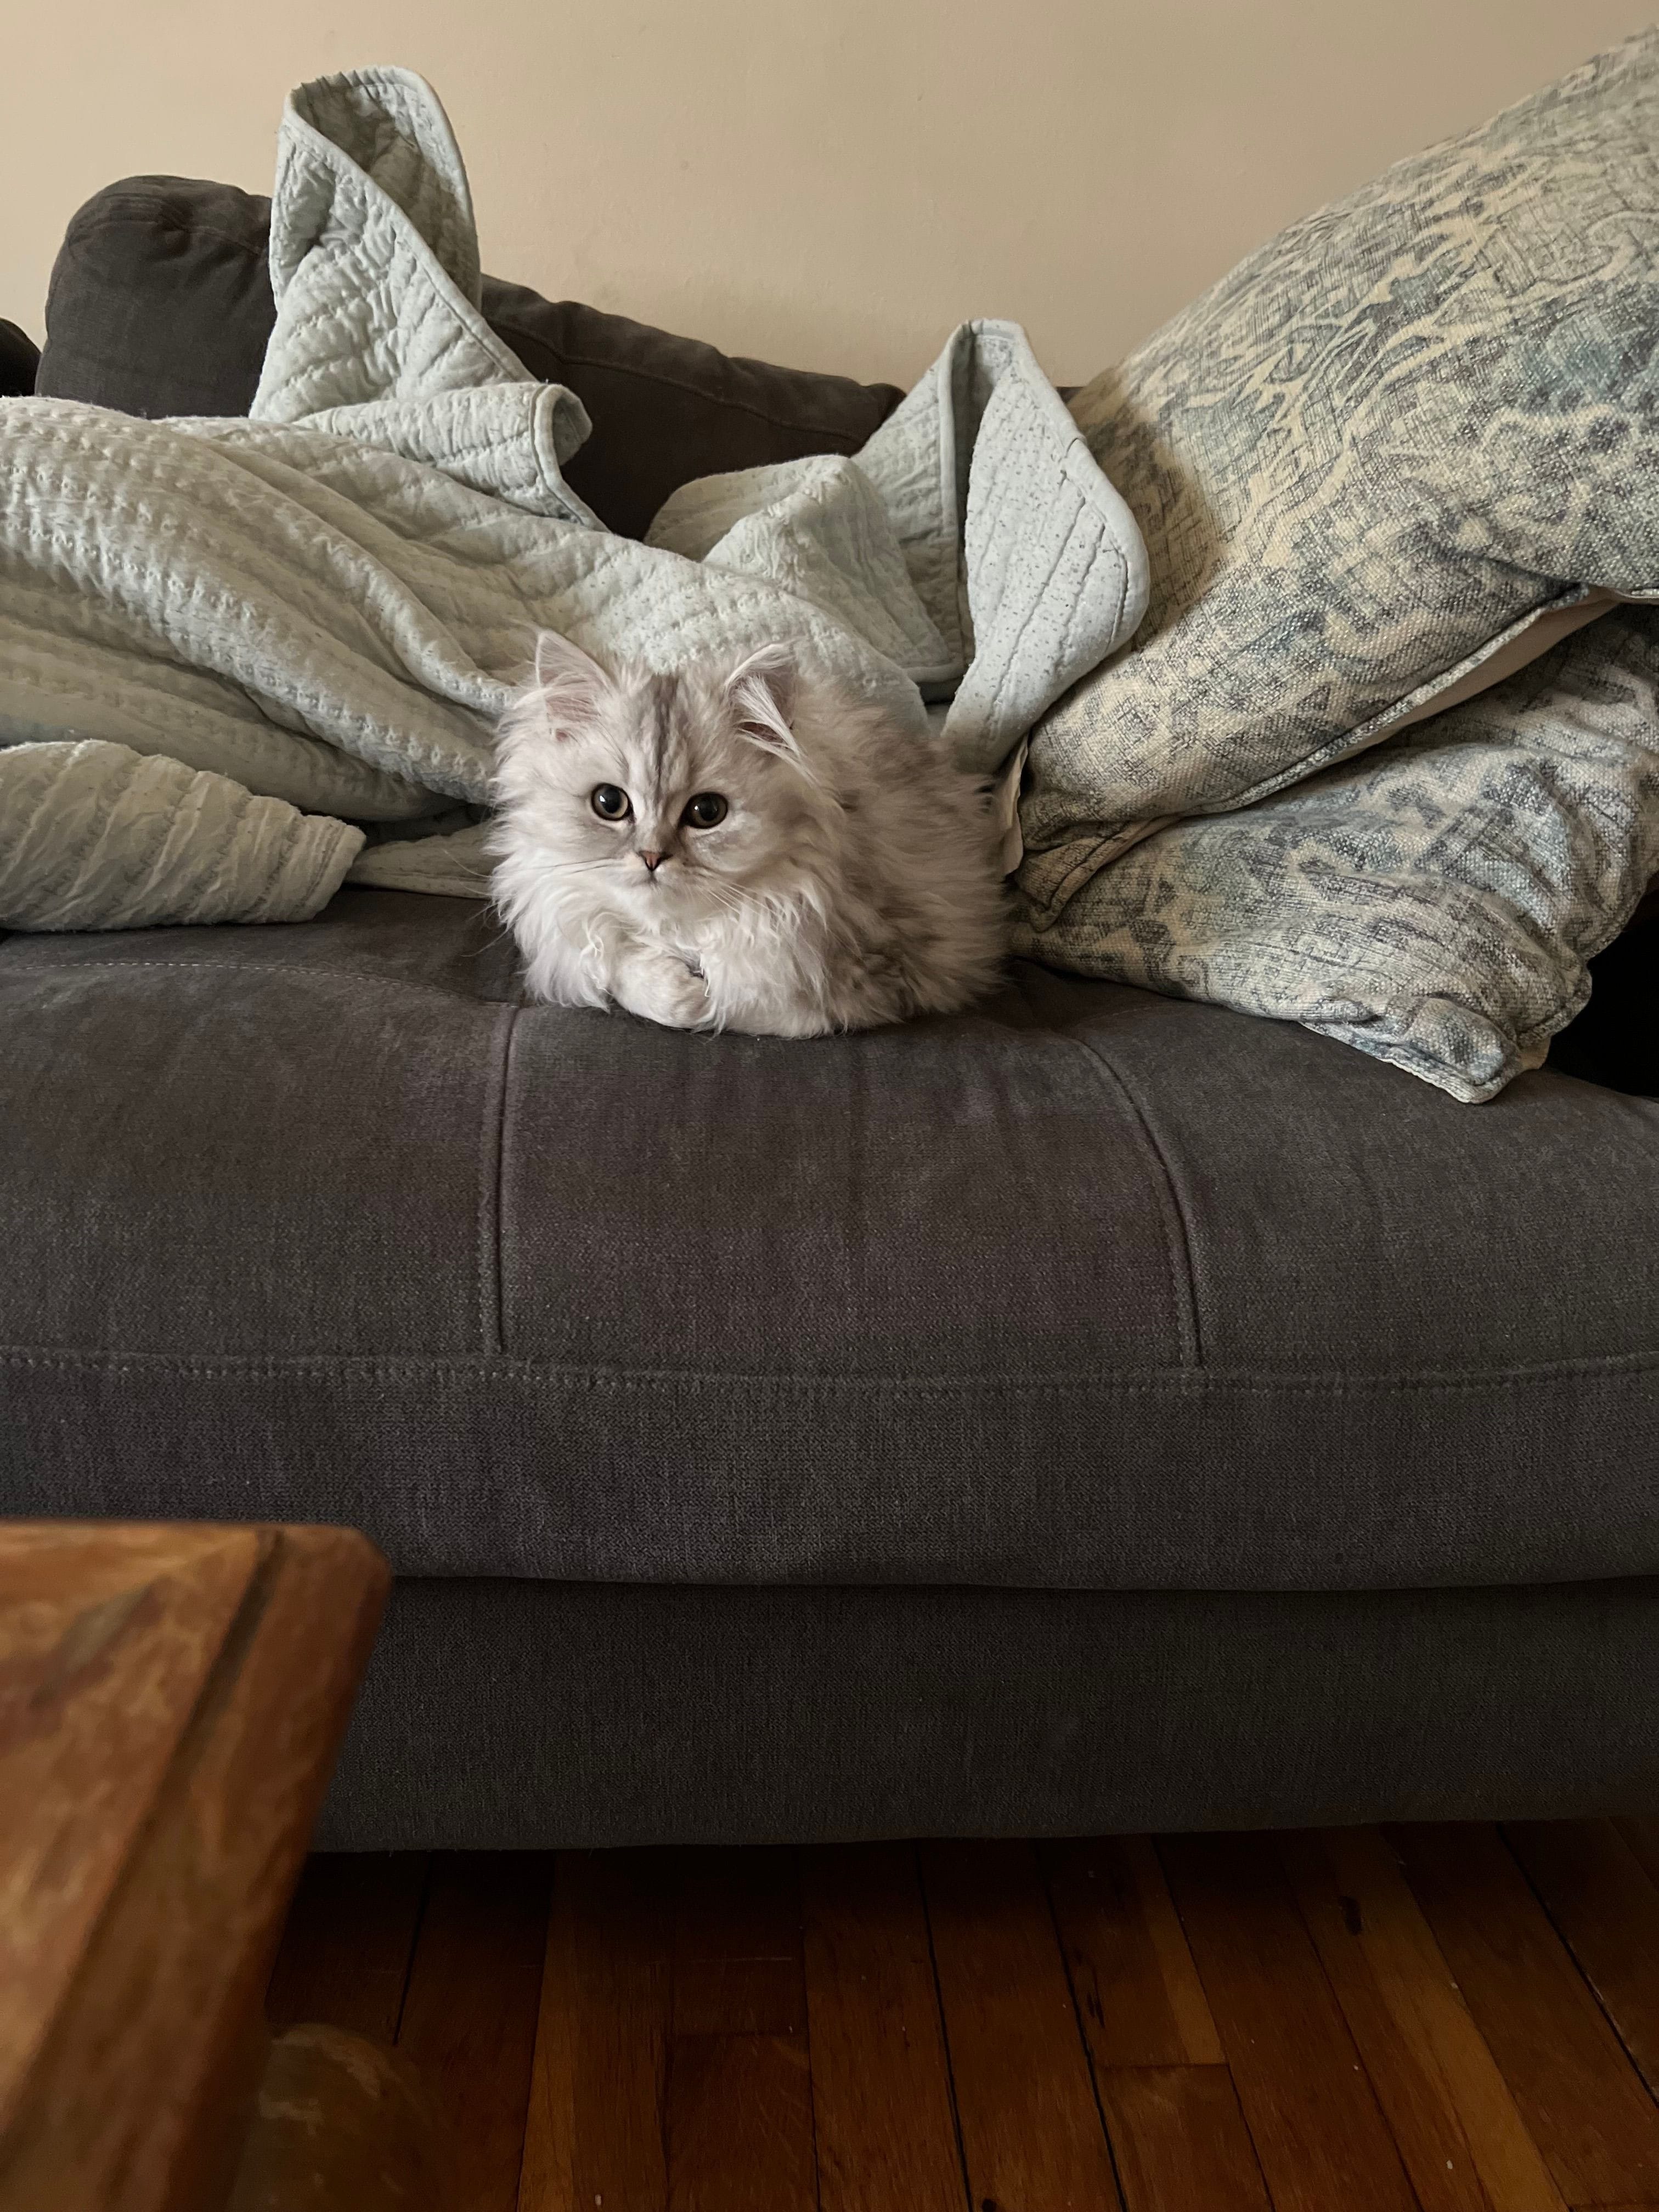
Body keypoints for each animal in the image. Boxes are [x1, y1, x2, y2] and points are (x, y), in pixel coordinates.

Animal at [491, 628, 1013, 1030]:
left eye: (707, 812)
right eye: (609, 804)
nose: (652, 858)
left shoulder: (879, 980)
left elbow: (745, 1003)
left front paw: (703, 1000)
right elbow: (622, 970)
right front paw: (680, 994)